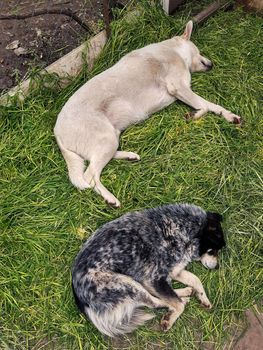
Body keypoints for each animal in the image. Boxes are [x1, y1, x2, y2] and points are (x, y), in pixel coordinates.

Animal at [54, 21, 242, 208]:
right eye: (199, 50)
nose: (212, 64)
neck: (174, 50)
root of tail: (57, 132)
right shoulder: (178, 87)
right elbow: (204, 106)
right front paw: (197, 115)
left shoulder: (183, 91)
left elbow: (210, 105)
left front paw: (226, 115)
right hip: (106, 139)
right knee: (90, 175)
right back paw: (110, 198)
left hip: (112, 137)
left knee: (99, 160)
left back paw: (129, 156)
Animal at [72, 205, 227, 336]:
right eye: (213, 251)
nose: (217, 267)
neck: (181, 229)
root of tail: (80, 299)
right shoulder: (155, 279)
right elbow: (177, 303)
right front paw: (169, 319)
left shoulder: (173, 271)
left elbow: (195, 279)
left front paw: (203, 298)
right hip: (127, 284)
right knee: (156, 302)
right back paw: (181, 300)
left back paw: (185, 292)